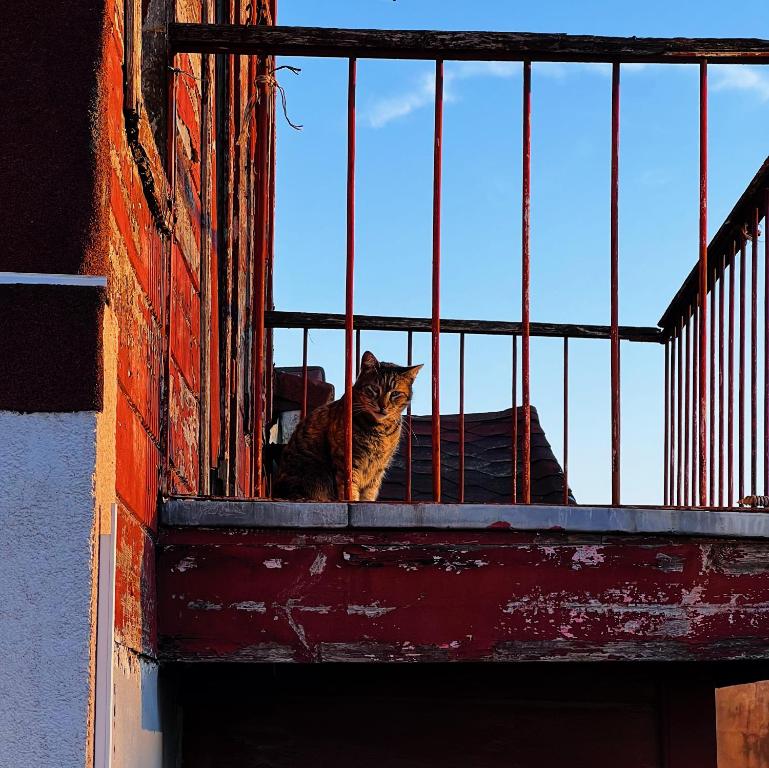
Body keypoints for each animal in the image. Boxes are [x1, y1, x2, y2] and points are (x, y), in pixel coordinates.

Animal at [272, 352, 424, 500]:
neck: (380, 429)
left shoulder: (378, 471)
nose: (383, 406)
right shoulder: (347, 462)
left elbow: (369, 495)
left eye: (395, 393)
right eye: (374, 389)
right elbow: (350, 491)